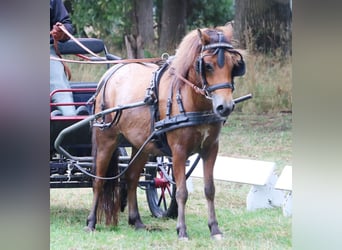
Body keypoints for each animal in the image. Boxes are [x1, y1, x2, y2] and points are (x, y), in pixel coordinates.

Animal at [85, 23, 246, 240]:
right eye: (208, 66)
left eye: (233, 64)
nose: (225, 107)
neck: (191, 100)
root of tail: (109, 75)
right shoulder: (178, 151)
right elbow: (182, 192)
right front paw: (182, 231)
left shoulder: (211, 149)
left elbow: (209, 189)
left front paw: (215, 229)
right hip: (106, 138)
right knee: (98, 181)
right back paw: (91, 222)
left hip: (141, 145)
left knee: (132, 177)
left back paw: (136, 220)